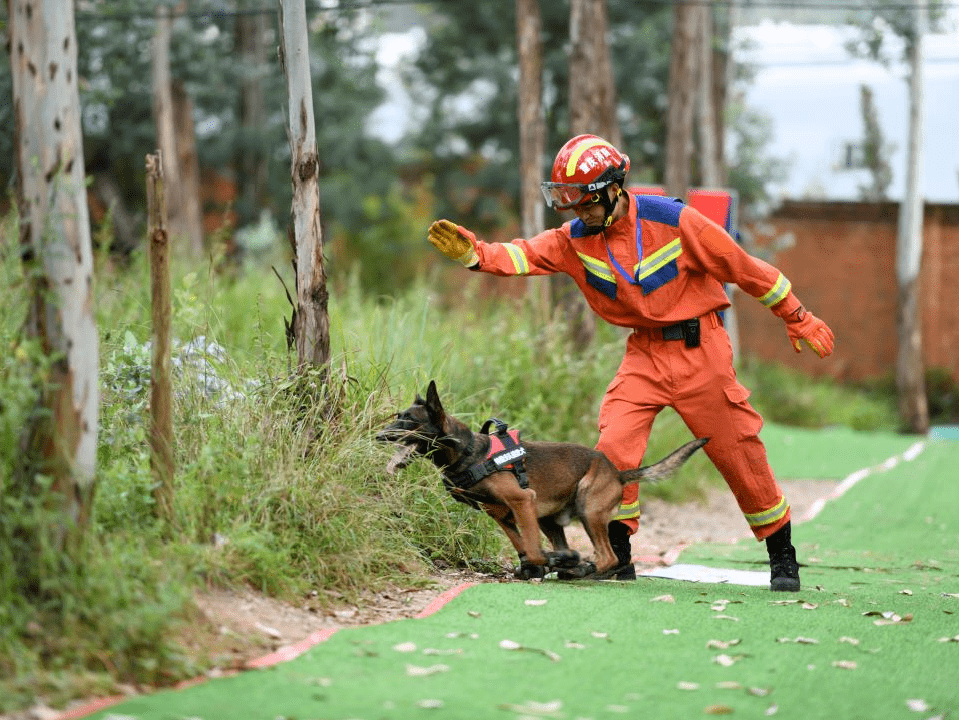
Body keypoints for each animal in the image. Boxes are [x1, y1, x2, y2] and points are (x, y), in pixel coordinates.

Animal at [378, 382, 708, 580]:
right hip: (549, 518)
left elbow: (533, 548)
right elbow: (523, 545)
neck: (470, 452)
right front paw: (536, 566)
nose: (379, 435)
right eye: (397, 416)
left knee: (607, 557)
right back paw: (568, 564)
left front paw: (547, 561)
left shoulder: (523, 501)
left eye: (409, 421)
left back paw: (580, 566)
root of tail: (617, 472)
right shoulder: (503, 515)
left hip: (588, 507)